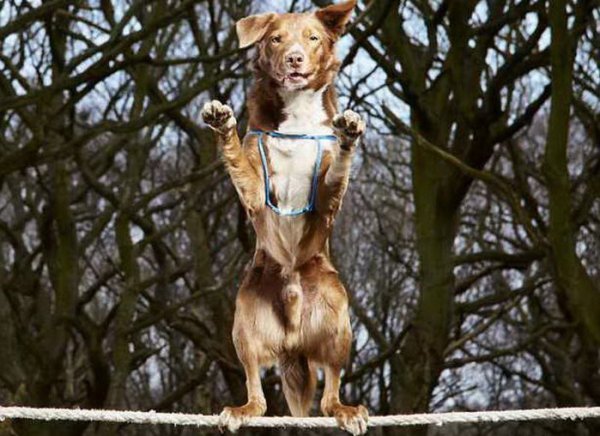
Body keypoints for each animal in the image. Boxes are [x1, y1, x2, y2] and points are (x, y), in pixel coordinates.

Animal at [202, 1, 368, 434]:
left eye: (312, 38)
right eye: (276, 39)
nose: (294, 58)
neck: (297, 114)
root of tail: (293, 337)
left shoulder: (326, 199)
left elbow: (337, 168)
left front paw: (349, 134)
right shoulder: (256, 192)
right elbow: (238, 161)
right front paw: (222, 122)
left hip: (337, 321)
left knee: (329, 392)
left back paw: (346, 409)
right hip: (245, 323)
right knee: (257, 390)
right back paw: (242, 410)